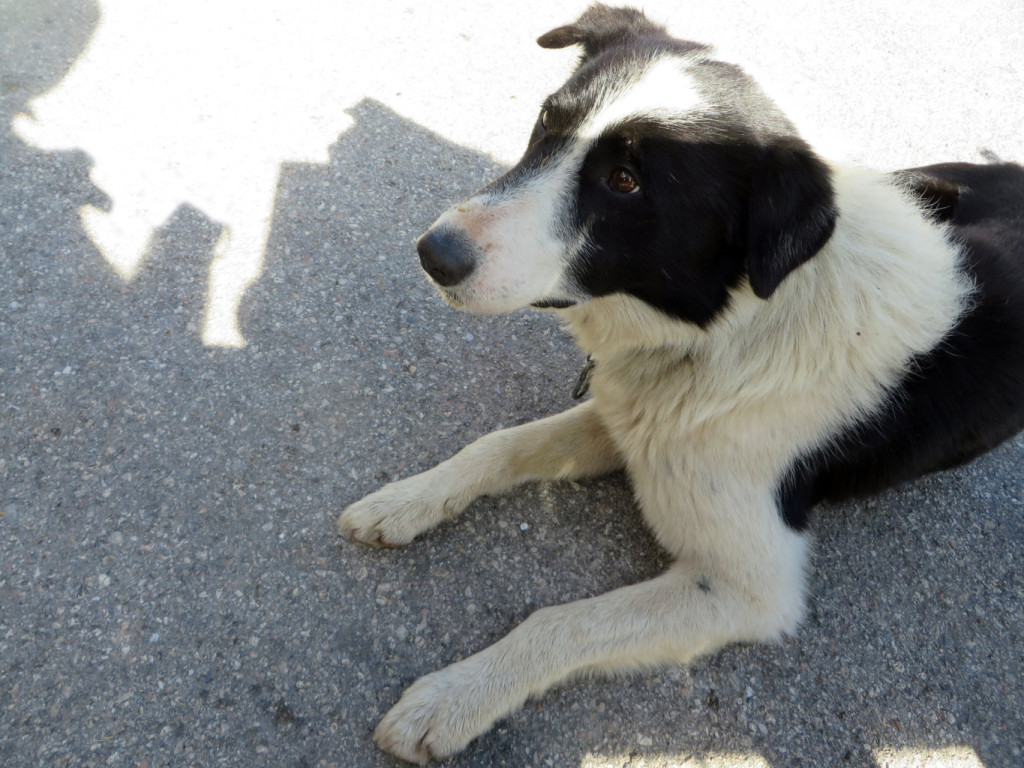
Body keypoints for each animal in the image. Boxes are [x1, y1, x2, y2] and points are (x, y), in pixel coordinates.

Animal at [337, 6, 1024, 765]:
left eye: (626, 181)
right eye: (547, 122)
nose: (433, 254)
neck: (733, 321)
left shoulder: (747, 587)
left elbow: (559, 621)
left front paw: (453, 697)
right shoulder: (631, 417)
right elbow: (497, 446)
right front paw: (405, 502)